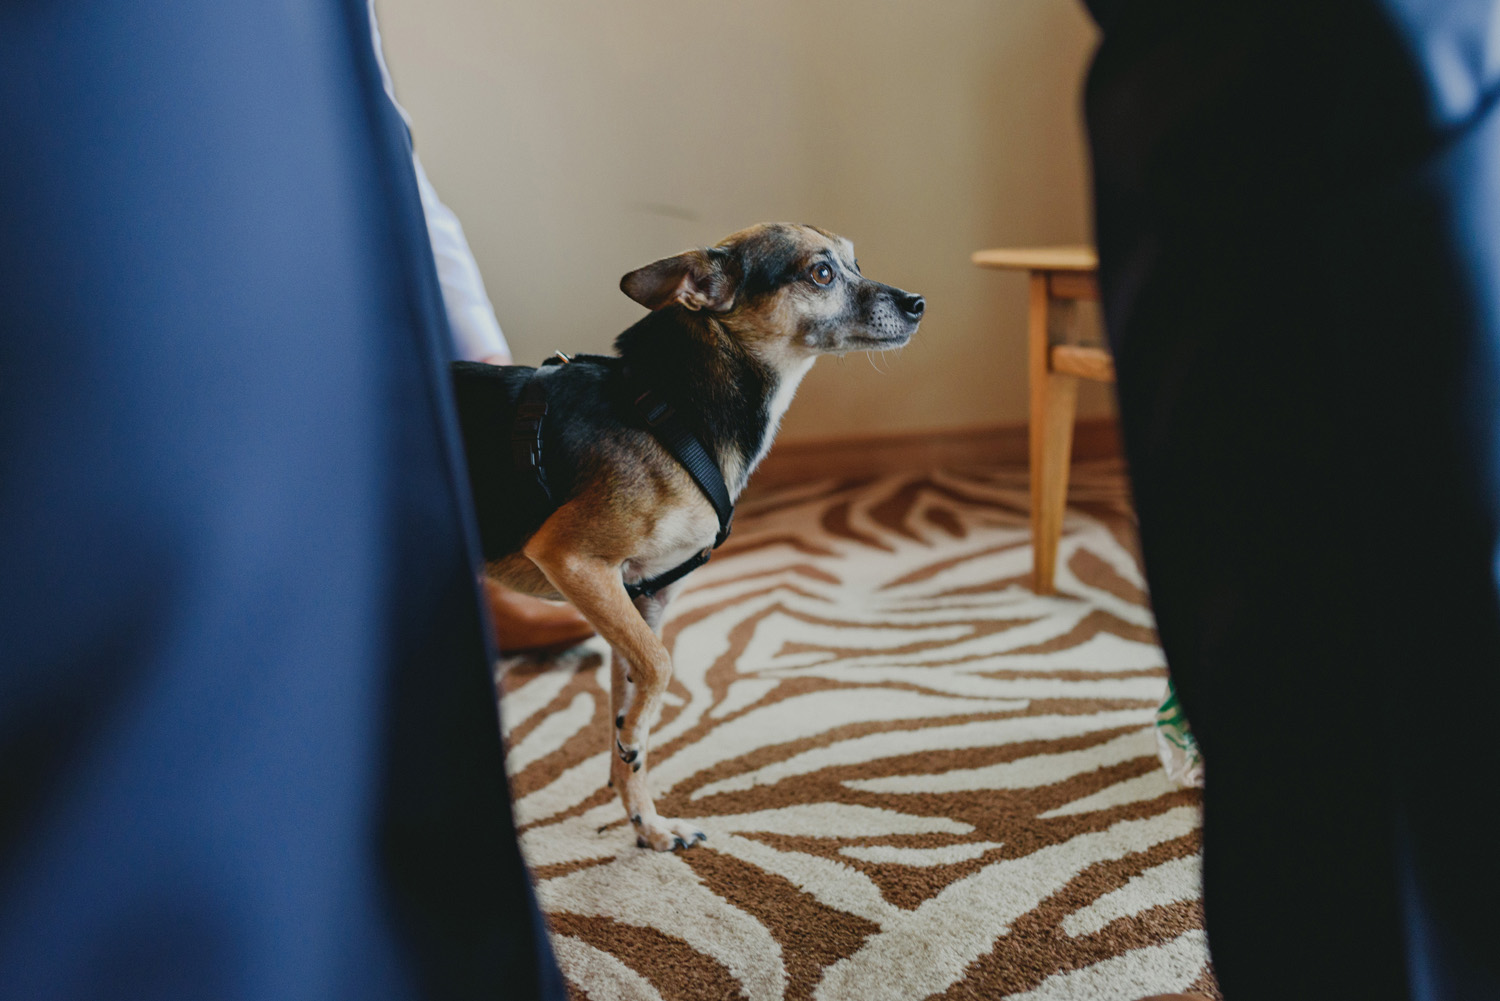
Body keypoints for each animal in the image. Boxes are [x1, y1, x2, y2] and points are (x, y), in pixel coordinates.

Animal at [456, 223, 918, 852]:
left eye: (856, 264)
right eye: (821, 273)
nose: (918, 303)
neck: (676, 409)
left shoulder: (643, 601)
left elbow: (631, 711)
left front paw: (647, 824)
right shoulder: (573, 559)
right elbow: (660, 668)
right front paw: (634, 746)